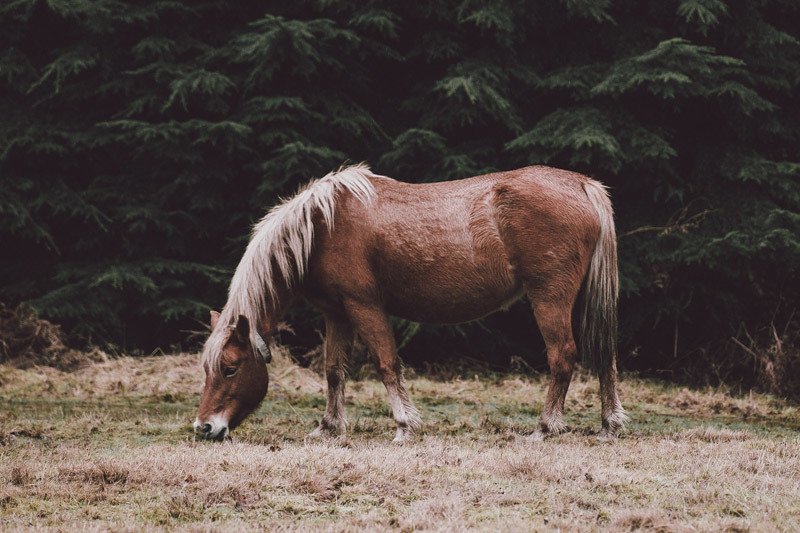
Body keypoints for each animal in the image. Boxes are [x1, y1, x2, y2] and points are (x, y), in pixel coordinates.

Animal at [193, 163, 626, 442]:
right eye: (207, 368)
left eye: (230, 368)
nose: (204, 428)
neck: (322, 226)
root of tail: (583, 185)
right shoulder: (337, 314)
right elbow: (334, 371)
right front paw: (329, 427)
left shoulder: (364, 306)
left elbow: (387, 363)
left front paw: (404, 426)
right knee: (605, 355)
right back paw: (609, 425)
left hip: (549, 297)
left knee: (562, 356)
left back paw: (543, 428)